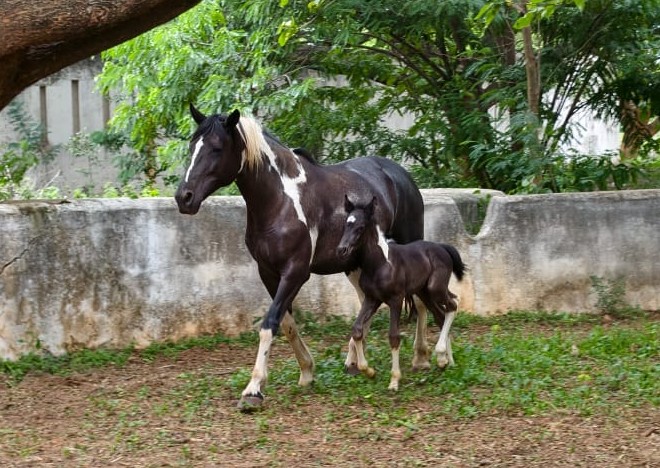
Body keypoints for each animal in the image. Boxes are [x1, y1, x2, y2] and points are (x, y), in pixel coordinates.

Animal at [175, 105, 427, 411]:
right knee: (364, 303)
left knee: (420, 302)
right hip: (356, 264)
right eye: (192, 146)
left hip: (407, 249)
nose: (184, 197)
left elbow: (270, 323)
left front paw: (253, 389)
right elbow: (286, 323)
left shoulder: (295, 272)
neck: (279, 201)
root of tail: (400, 175)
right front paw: (306, 371)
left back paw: (423, 357)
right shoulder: (268, 272)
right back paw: (355, 363)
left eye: (217, 148)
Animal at [337, 195, 466, 390]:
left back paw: (442, 354)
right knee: (441, 316)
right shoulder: (371, 299)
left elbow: (394, 336)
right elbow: (357, 329)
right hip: (424, 292)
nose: (342, 249)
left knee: (452, 305)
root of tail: (442, 247)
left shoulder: (395, 300)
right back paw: (447, 361)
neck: (380, 264)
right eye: (346, 225)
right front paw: (368, 371)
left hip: (435, 288)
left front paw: (394, 380)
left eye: (360, 227)